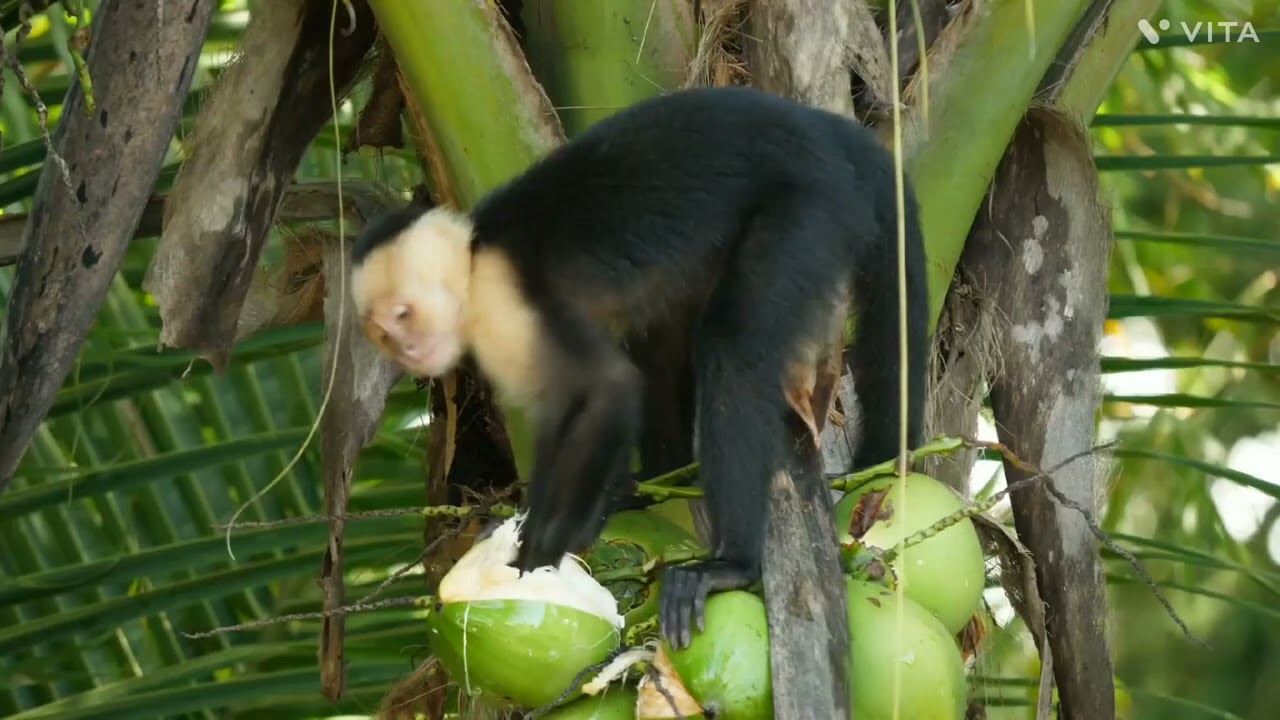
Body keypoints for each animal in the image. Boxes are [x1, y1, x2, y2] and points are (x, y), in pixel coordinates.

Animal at [350, 86, 928, 649]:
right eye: (382, 332)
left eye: (403, 315)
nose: (405, 349)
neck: (474, 261)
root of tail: (825, 128)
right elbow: (564, 416)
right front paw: (542, 525)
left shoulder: (503, 304)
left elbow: (607, 390)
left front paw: (542, 552)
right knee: (662, 336)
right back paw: (653, 482)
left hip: (808, 206)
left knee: (731, 346)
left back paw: (731, 564)